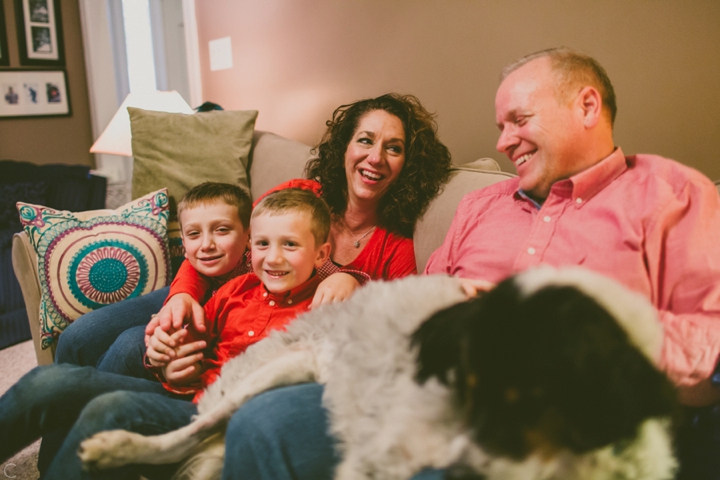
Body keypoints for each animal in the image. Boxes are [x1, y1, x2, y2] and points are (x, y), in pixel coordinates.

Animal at [80, 268, 680, 478]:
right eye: (465, 383)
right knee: (185, 436)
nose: (457, 474)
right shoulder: (378, 461)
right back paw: (119, 447)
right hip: (268, 378)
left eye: (537, 395)